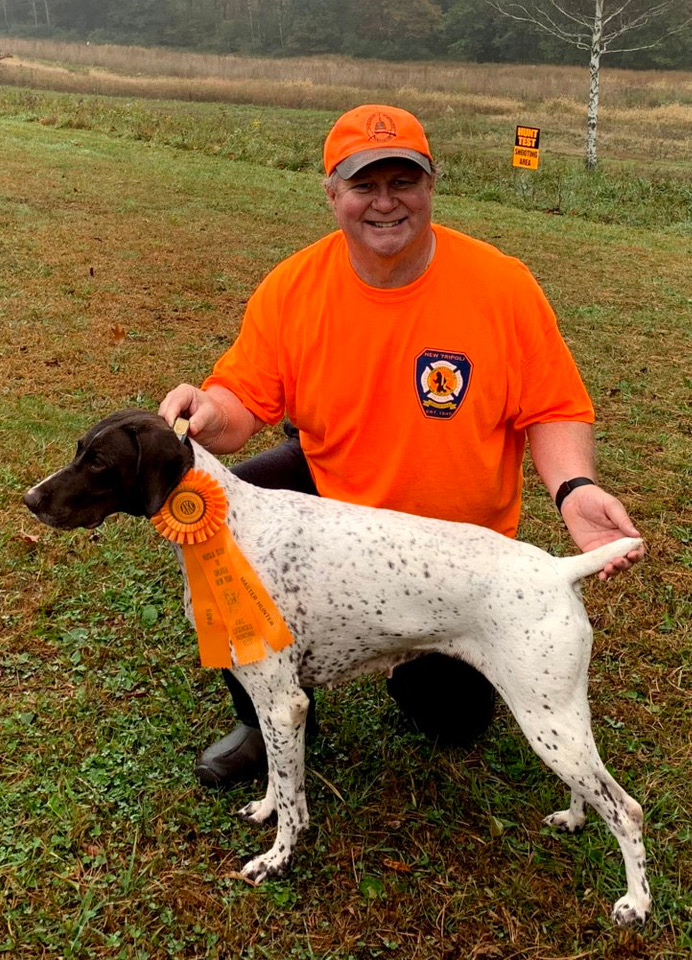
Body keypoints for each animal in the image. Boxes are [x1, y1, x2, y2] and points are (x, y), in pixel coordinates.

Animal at [21, 410, 648, 924]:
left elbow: (292, 804)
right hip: (559, 715)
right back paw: (573, 819)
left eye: (99, 462)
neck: (233, 527)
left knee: (627, 810)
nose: (29, 500)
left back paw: (636, 904)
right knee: (592, 791)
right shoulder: (276, 704)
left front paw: (276, 860)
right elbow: (280, 780)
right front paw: (265, 808)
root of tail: (559, 569)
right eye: (79, 449)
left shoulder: (282, 702)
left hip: (546, 720)